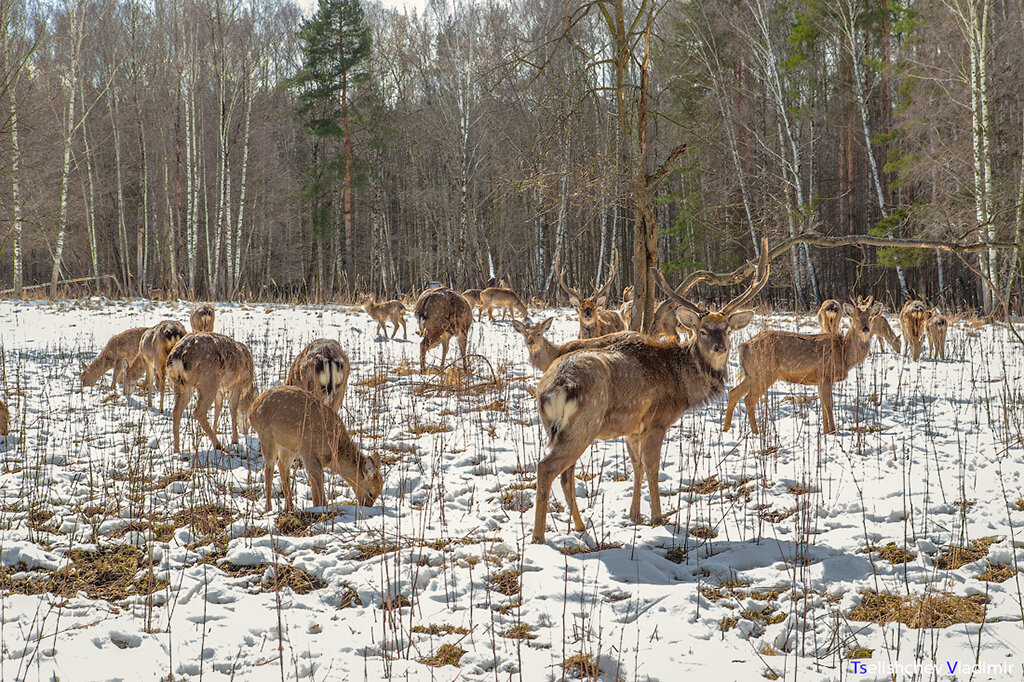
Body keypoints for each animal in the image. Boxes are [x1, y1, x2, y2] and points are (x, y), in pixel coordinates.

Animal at [248, 382, 385, 509]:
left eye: (379, 492)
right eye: (371, 493)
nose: (366, 506)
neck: (334, 454)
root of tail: (252, 409)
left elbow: (312, 479)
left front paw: (316, 505)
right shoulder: (308, 451)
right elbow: (319, 477)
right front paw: (324, 506)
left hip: (288, 445)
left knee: (282, 466)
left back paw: (290, 508)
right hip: (266, 434)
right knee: (269, 468)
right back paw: (269, 509)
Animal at [528, 241, 770, 540]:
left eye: (726, 328)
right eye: (702, 330)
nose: (720, 347)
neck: (681, 384)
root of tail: (551, 387)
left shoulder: (633, 425)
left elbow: (637, 465)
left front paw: (634, 514)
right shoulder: (658, 420)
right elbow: (653, 467)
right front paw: (657, 517)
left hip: (558, 428)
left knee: (565, 473)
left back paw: (582, 526)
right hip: (584, 424)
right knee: (547, 468)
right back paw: (539, 537)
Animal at [724, 294, 884, 432]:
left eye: (871, 317)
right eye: (854, 318)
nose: (865, 329)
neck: (844, 355)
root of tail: (743, 347)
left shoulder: (819, 379)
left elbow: (823, 404)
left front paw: (826, 431)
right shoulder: (825, 374)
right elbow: (829, 404)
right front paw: (833, 431)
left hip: (752, 374)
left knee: (734, 393)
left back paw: (726, 429)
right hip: (765, 372)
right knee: (749, 399)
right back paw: (756, 432)